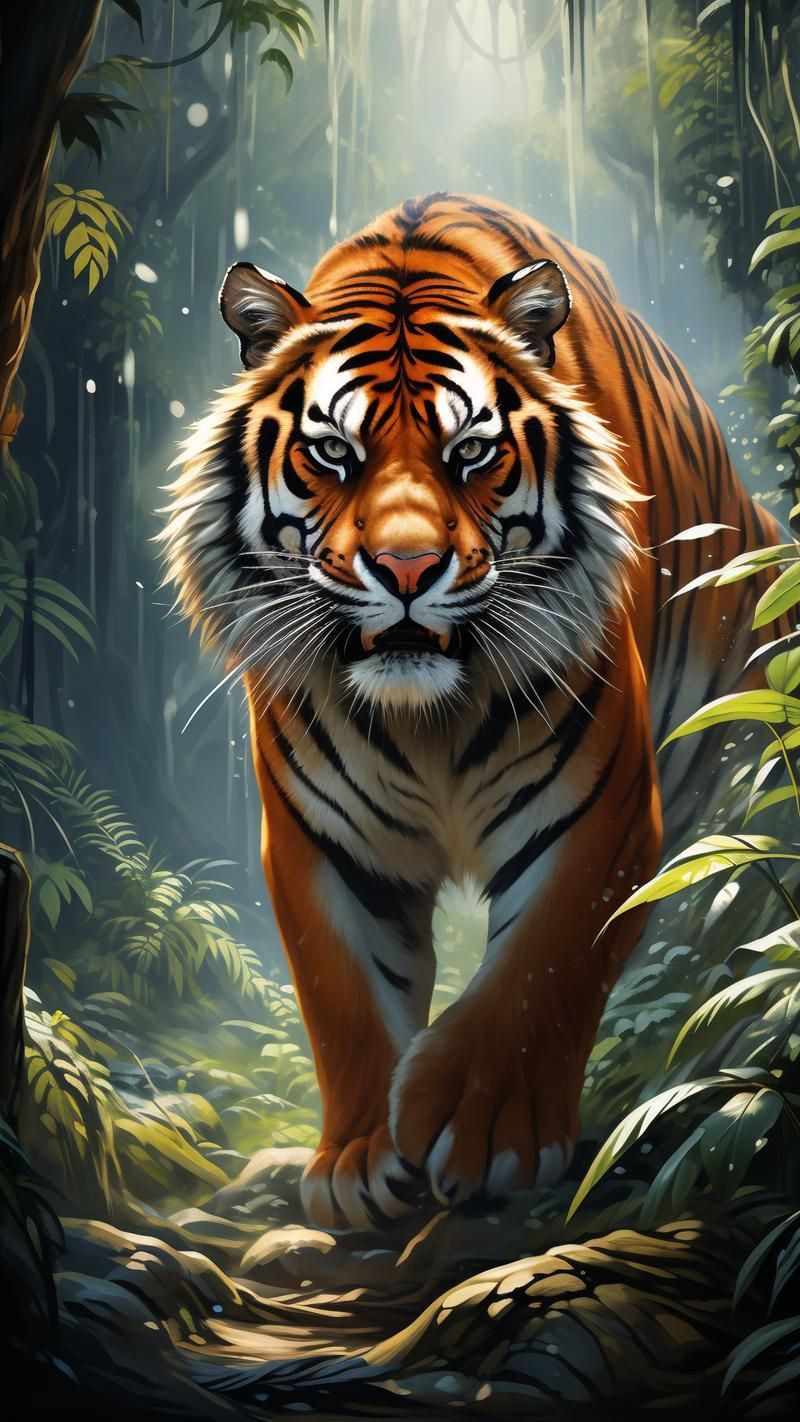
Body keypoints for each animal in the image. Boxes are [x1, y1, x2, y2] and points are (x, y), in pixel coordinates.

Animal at [162, 192, 782, 1230]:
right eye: (334, 452)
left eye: (473, 452)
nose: (408, 567)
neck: (427, 719)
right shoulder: (318, 842)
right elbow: (344, 996)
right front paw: (358, 1160)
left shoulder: (601, 812)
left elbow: (539, 967)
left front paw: (483, 1132)